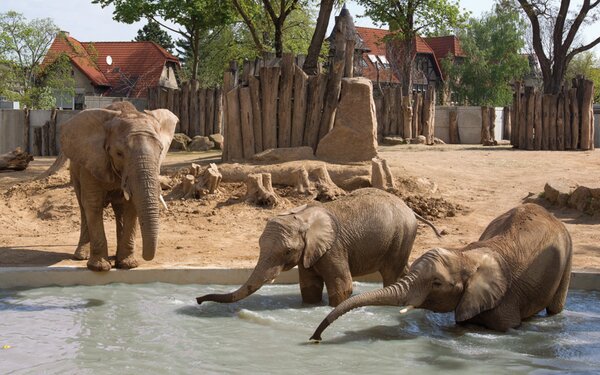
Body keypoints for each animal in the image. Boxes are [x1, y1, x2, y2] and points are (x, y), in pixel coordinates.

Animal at [61, 102, 178, 274]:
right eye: (119, 153)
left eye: (161, 151)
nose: (146, 257)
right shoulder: (92, 163)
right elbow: (93, 204)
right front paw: (100, 268)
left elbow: (131, 205)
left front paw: (128, 265)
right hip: (75, 170)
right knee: (83, 206)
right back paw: (81, 256)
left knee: (119, 210)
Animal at [197, 189, 440, 306]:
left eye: (287, 251)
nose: (198, 300)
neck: (300, 216)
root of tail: (411, 209)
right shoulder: (309, 253)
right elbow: (309, 287)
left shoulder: (334, 248)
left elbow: (343, 286)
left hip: (402, 235)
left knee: (391, 273)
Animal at [312, 204, 576, 342]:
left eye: (437, 283)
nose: (315, 338)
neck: (466, 255)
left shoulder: (505, 299)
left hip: (568, 252)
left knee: (556, 307)